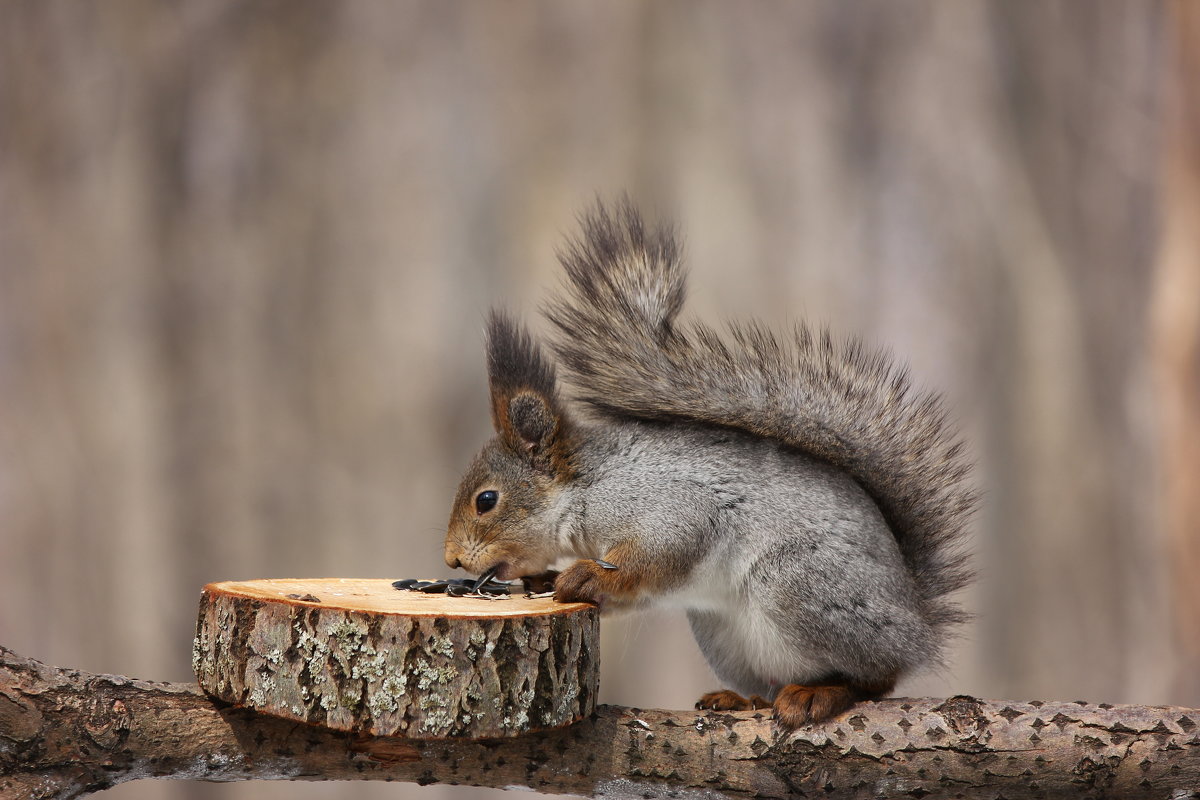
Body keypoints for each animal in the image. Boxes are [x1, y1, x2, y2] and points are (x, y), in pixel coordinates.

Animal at [444, 201, 974, 734]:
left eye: (486, 500)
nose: (451, 560)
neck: (587, 487)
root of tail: (916, 622)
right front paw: (546, 581)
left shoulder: (671, 505)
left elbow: (658, 554)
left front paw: (586, 577)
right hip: (722, 636)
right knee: (773, 685)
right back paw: (742, 701)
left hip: (798, 584)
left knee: (876, 677)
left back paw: (819, 695)